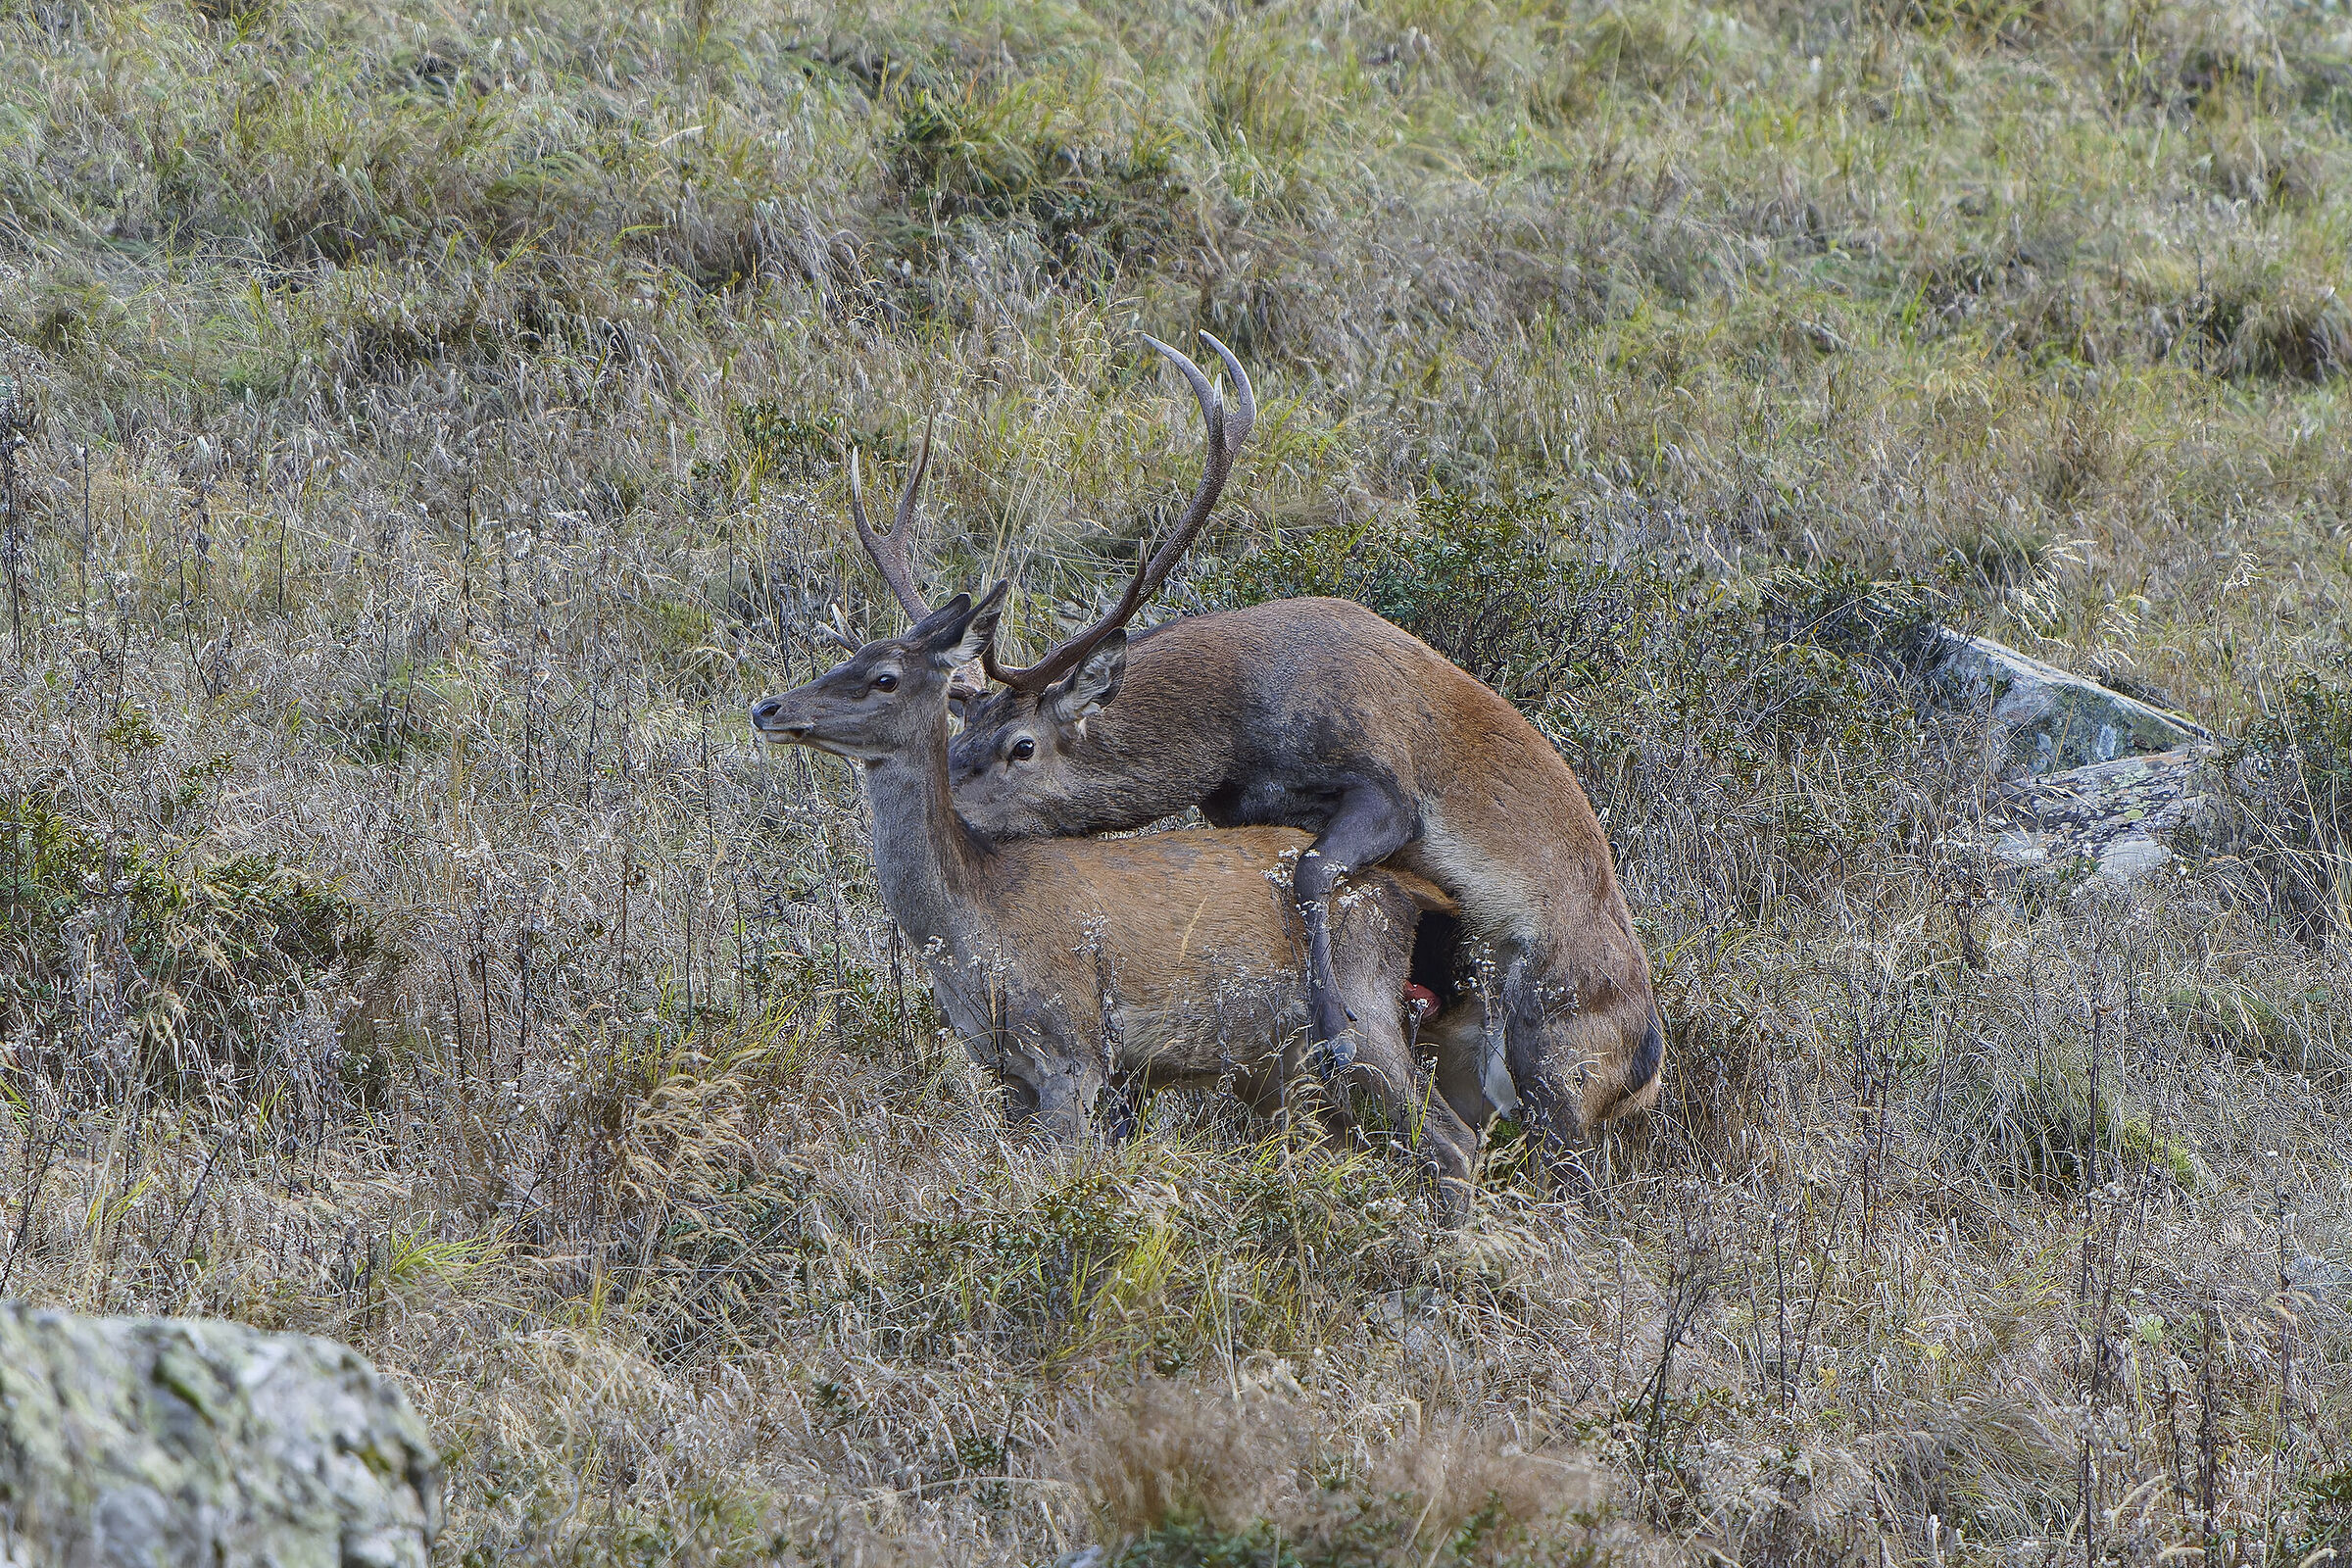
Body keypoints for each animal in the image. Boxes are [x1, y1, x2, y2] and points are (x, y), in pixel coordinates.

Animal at [749, 583, 1482, 1211]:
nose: (768, 708)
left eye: (885, 676)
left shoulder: (1073, 1048)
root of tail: (1409, 888)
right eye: (851, 654)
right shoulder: (1005, 1069)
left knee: (1454, 1140)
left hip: (1361, 1011)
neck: (974, 923)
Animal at [847, 333, 1662, 1151]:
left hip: (1559, 1044)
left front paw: (1335, 1027)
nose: (948, 821)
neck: (1236, 732)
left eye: (1022, 746)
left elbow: (1313, 872)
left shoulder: (1387, 785)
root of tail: (1646, 1072)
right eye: (959, 737)